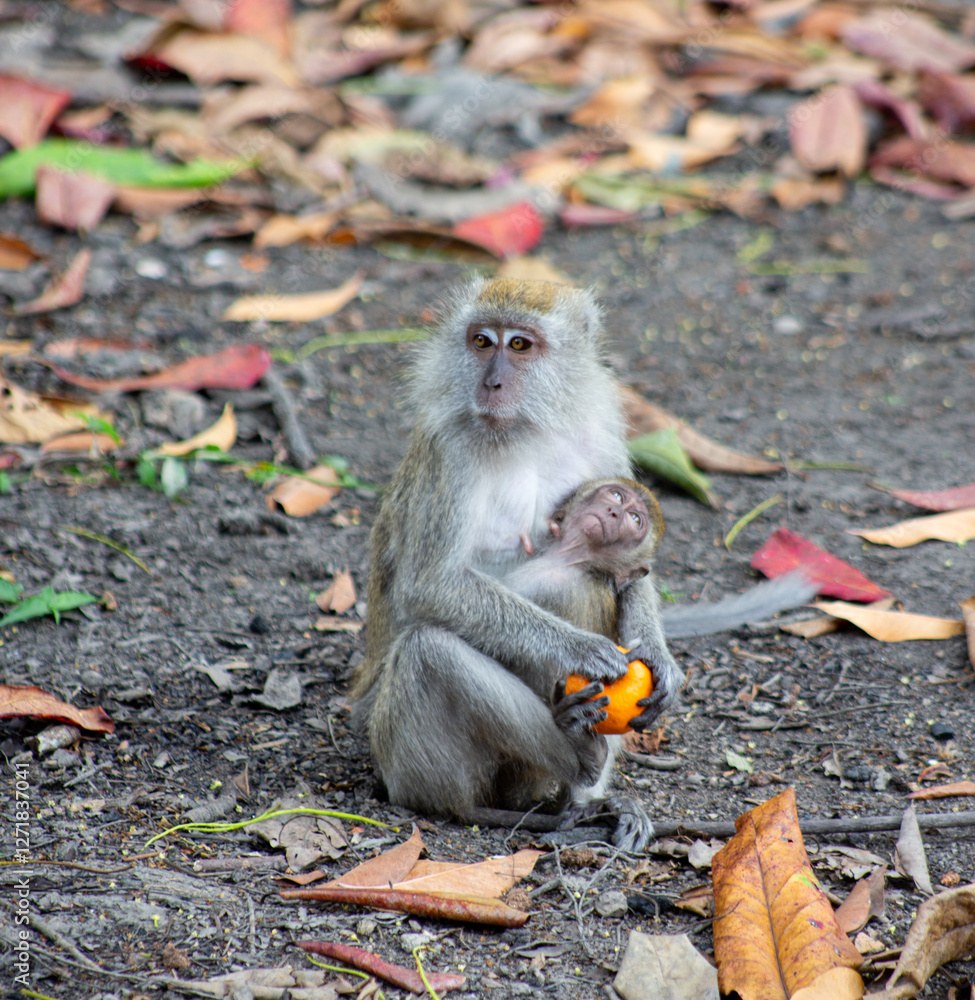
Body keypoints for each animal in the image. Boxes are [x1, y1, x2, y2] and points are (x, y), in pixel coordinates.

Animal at [351, 277, 683, 851]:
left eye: (521, 345)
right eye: (483, 342)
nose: (492, 383)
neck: (525, 430)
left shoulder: (596, 429)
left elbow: (631, 576)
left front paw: (659, 658)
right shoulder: (452, 451)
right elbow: (432, 585)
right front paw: (581, 649)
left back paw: (582, 796)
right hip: (404, 758)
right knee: (430, 652)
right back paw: (567, 754)